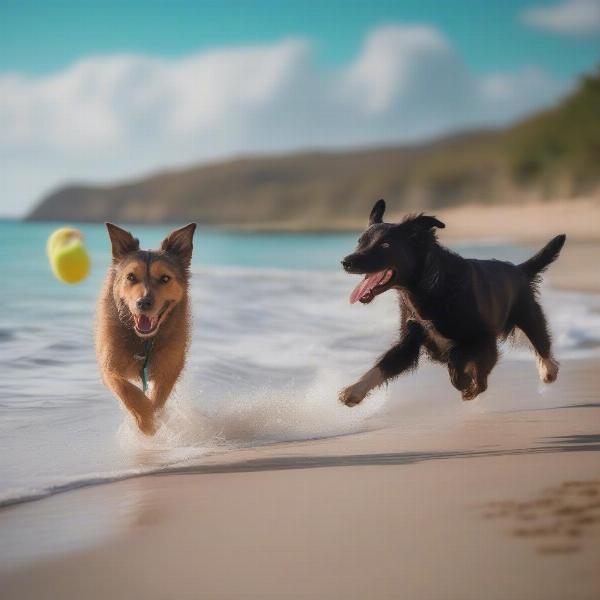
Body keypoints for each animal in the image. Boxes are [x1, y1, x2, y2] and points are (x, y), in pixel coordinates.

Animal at [95, 223, 196, 434]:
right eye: (131, 277)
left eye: (165, 278)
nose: (143, 303)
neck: (143, 340)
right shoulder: (109, 367)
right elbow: (128, 390)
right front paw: (146, 420)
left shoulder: (170, 368)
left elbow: (158, 398)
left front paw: (153, 417)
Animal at [340, 199, 564, 406]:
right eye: (360, 242)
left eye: (385, 245)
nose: (345, 262)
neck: (430, 286)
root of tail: (519, 270)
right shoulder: (409, 342)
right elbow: (383, 365)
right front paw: (354, 390)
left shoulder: (483, 338)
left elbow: (458, 358)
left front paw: (465, 382)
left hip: (529, 315)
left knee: (541, 343)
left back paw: (548, 371)